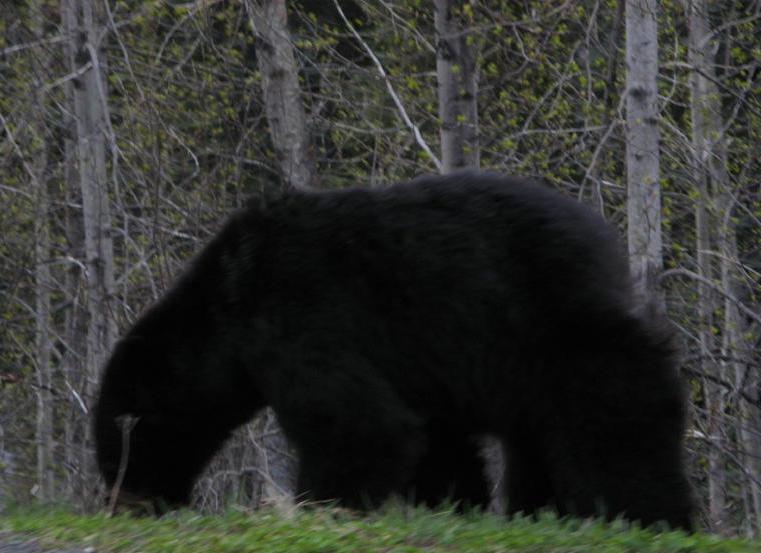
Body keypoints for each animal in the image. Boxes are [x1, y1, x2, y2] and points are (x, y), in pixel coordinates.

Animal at [93, 171, 694, 529]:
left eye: (120, 445)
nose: (124, 503)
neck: (229, 304)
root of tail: (605, 242)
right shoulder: (414, 370)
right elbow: (435, 442)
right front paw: (454, 506)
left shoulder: (305, 317)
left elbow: (359, 425)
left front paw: (322, 506)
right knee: (537, 442)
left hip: (556, 329)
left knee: (618, 416)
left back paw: (653, 512)